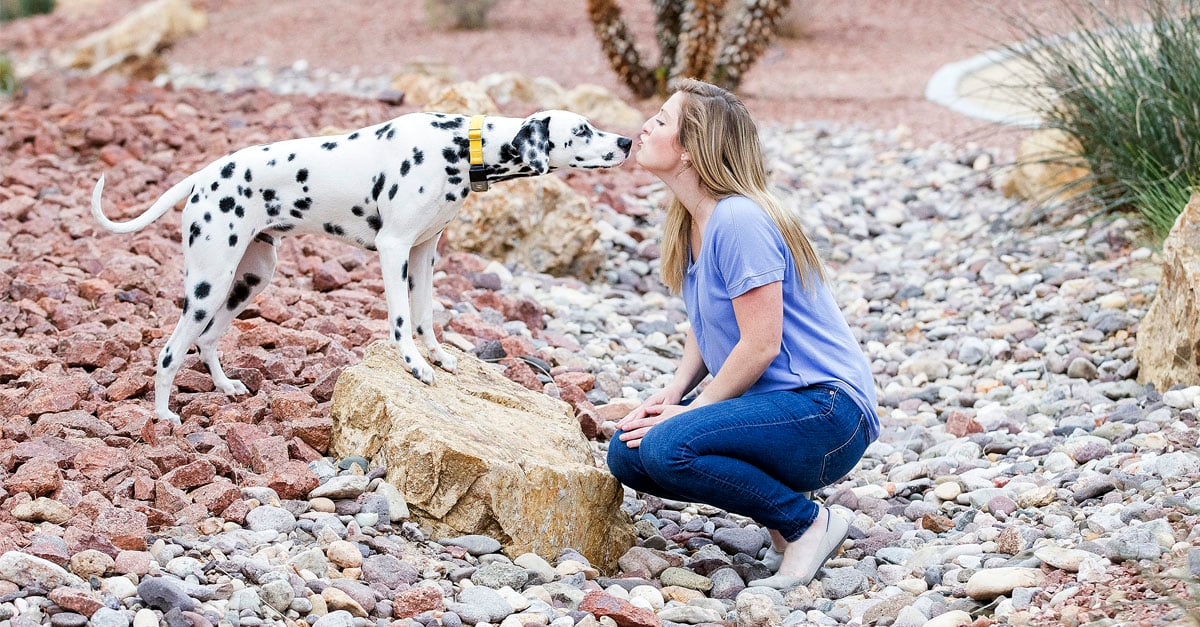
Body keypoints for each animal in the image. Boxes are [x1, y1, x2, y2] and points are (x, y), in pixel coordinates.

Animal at [91, 109, 638, 422]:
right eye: (582, 130)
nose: (628, 142)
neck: (460, 147)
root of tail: (203, 176)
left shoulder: (424, 251)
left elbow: (425, 316)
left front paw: (437, 356)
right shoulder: (393, 248)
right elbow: (399, 321)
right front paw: (415, 366)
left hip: (249, 279)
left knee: (205, 341)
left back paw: (224, 387)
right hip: (209, 282)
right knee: (169, 352)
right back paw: (163, 416)